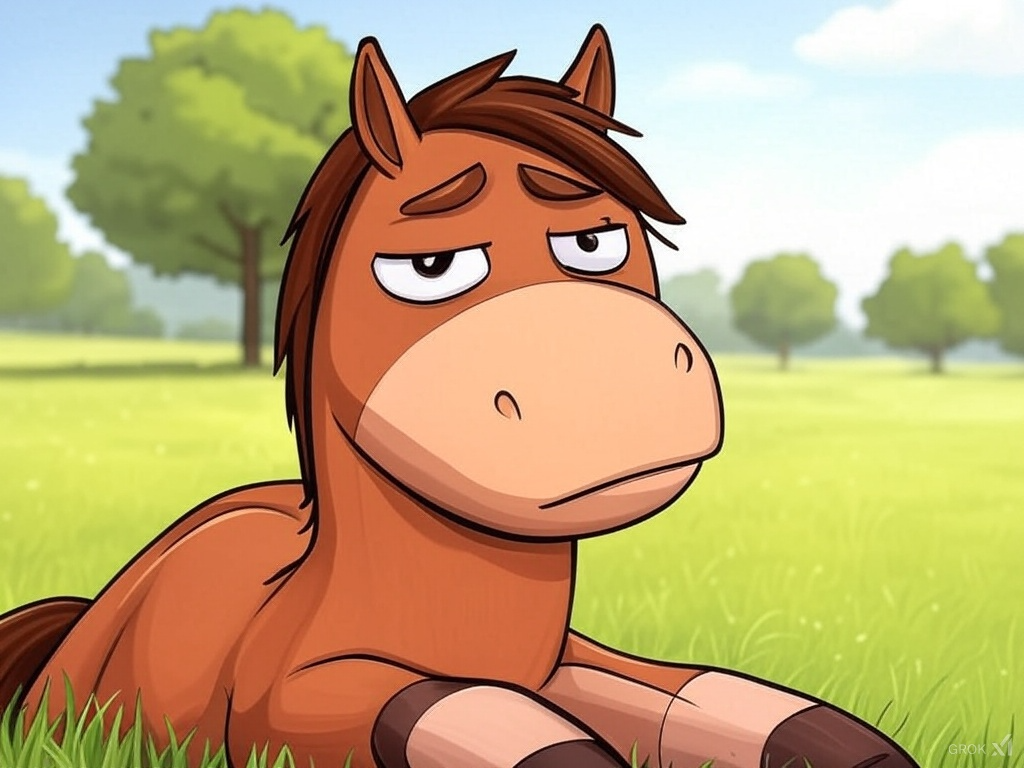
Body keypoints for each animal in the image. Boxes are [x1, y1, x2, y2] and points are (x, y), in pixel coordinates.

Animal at [0, 25, 918, 768]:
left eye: (594, 242)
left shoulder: (567, 662)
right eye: (430, 266)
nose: (609, 379)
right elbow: (471, 719)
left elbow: (738, 706)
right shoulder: (289, 701)